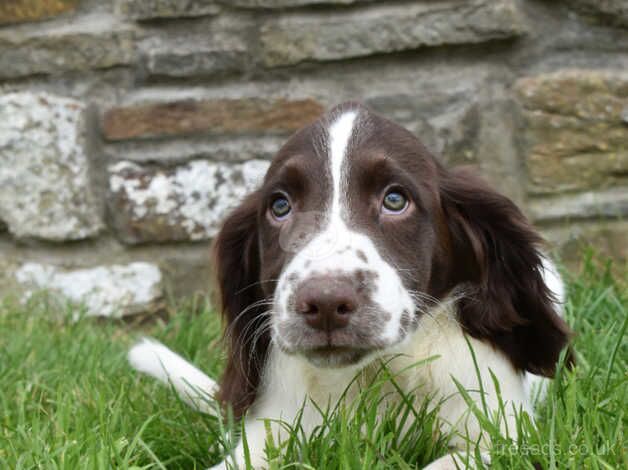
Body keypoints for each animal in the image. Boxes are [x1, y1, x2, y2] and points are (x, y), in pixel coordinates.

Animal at [130, 101, 572, 468]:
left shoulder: (504, 433)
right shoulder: (267, 429)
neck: (373, 375)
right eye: (280, 206)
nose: (325, 303)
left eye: (395, 200)